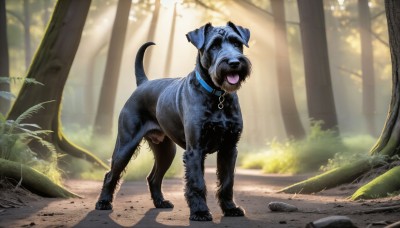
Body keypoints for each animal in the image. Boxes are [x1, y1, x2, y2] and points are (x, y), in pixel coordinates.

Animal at [95, 21, 250, 221]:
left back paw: (161, 202)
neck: (218, 96)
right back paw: (103, 202)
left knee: (153, 178)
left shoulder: (229, 148)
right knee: (111, 174)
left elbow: (227, 181)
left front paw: (231, 208)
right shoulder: (195, 150)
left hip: (166, 150)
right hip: (125, 145)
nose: (234, 63)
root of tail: (143, 83)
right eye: (214, 46)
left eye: (237, 43)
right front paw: (200, 212)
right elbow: (197, 183)